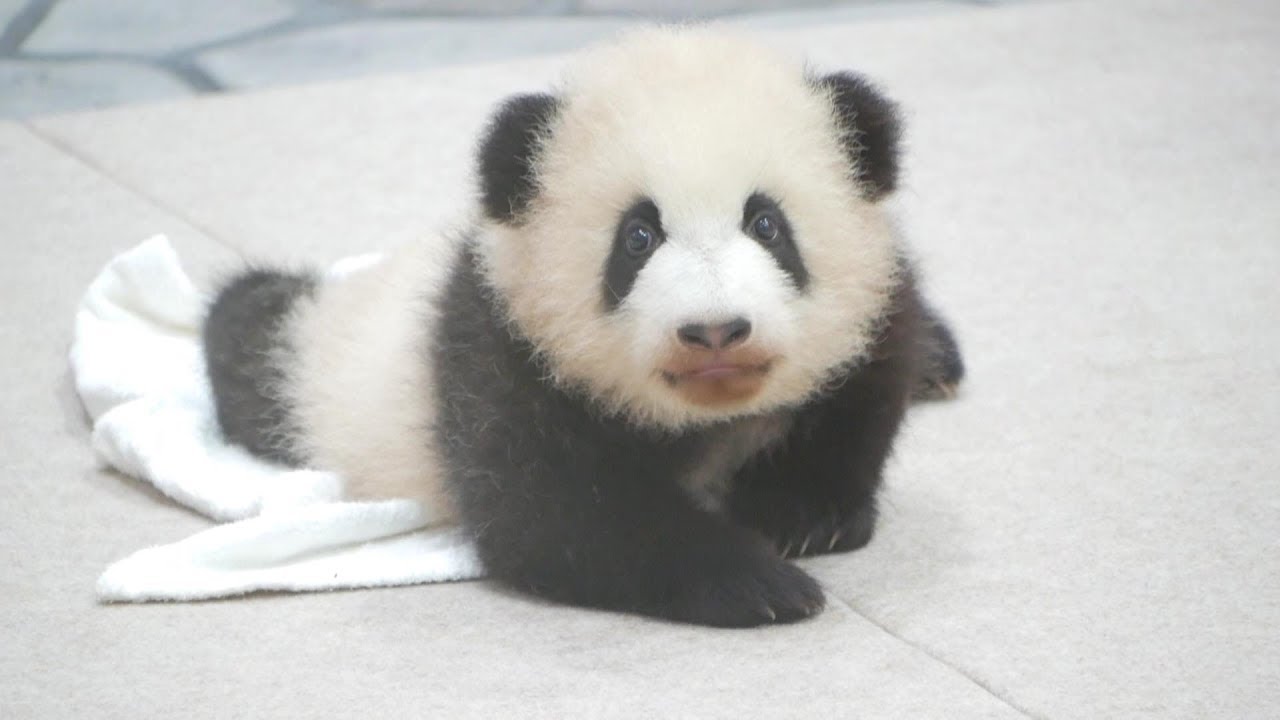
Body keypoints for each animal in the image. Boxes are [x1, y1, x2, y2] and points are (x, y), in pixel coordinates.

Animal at [201, 27, 964, 628]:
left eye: (768, 224)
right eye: (638, 237)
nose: (715, 331)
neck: (707, 416)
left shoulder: (876, 308)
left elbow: (858, 403)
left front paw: (800, 516)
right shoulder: (500, 351)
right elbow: (555, 513)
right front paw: (760, 583)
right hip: (318, 375)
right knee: (255, 349)